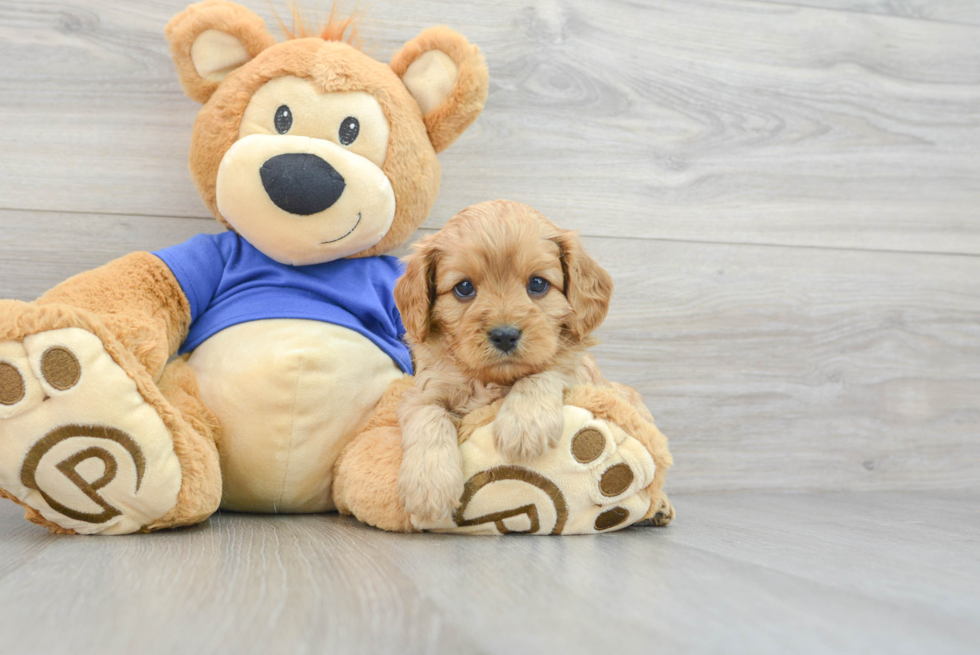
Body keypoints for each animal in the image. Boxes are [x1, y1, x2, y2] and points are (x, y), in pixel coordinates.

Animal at [394, 199, 616, 524]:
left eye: (537, 284)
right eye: (464, 288)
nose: (505, 335)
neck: (491, 380)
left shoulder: (579, 374)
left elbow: (545, 371)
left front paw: (525, 424)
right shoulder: (423, 391)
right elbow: (428, 415)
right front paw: (429, 485)